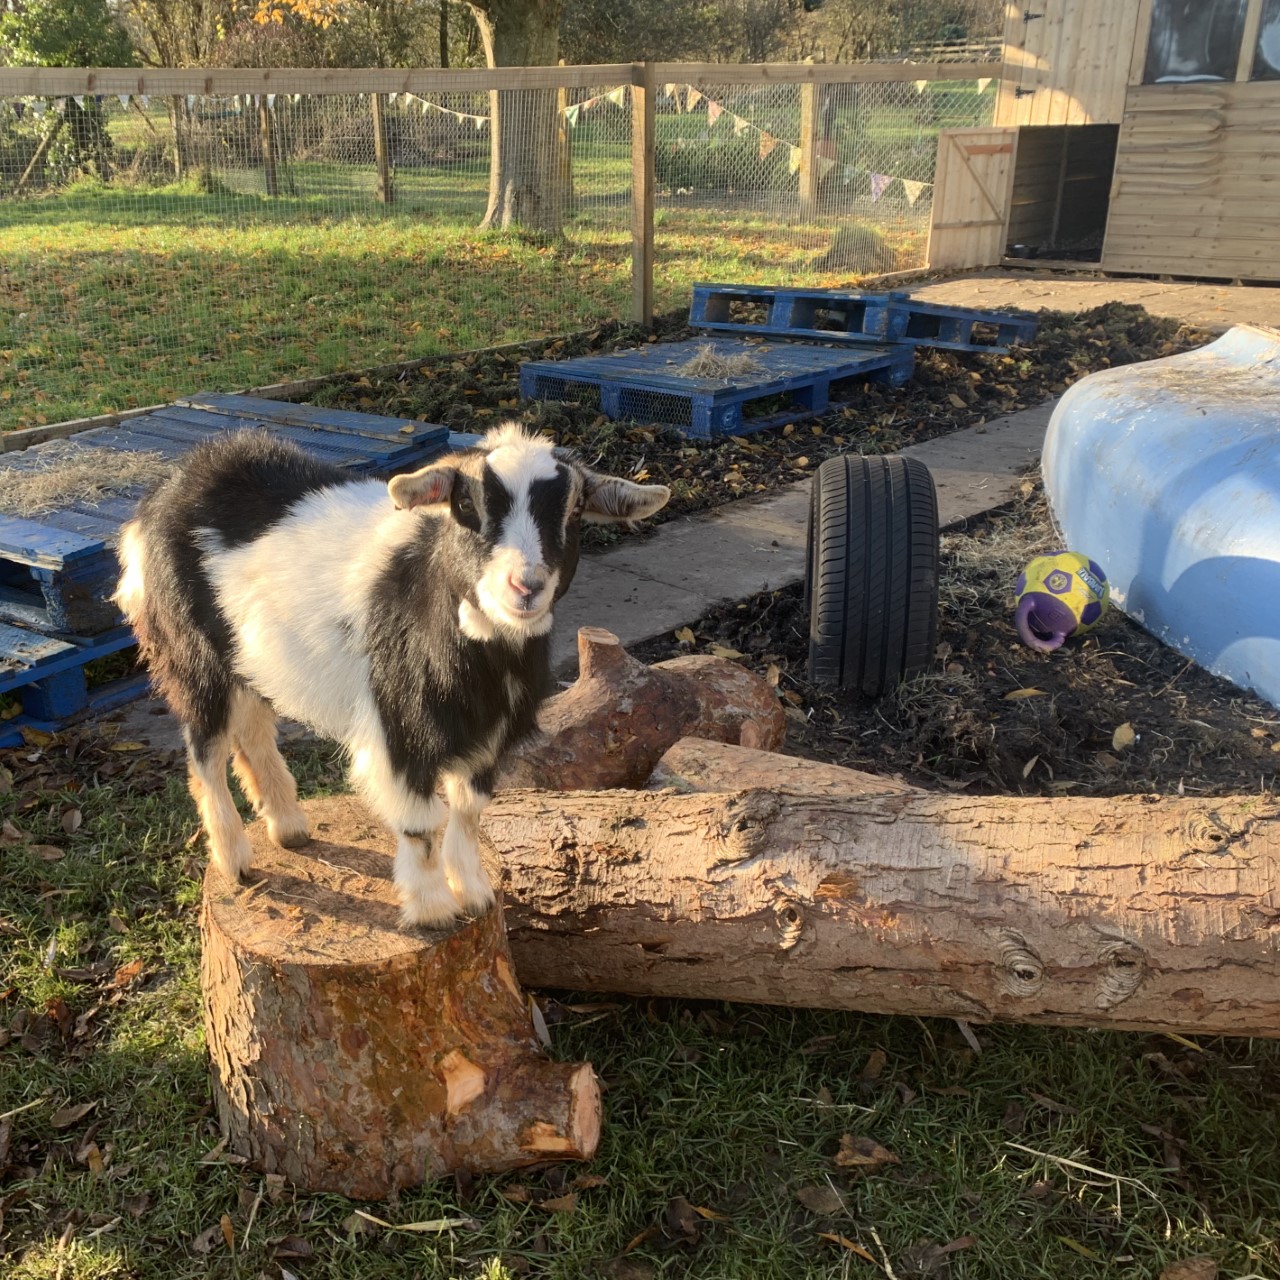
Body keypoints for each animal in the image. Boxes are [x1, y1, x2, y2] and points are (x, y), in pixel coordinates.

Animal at [115, 424, 670, 926]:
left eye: (574, 510)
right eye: (464, 503)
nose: (525, 586)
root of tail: (175, 485)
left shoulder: (489, 737)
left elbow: (468, 813)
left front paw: (475, 894)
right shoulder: (400, 726)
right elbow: (420, 826)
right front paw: (432, 910)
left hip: (250, 656)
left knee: (252, 729)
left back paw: (289, 825)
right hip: (192, 655)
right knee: (204, 750)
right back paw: (234, 858)